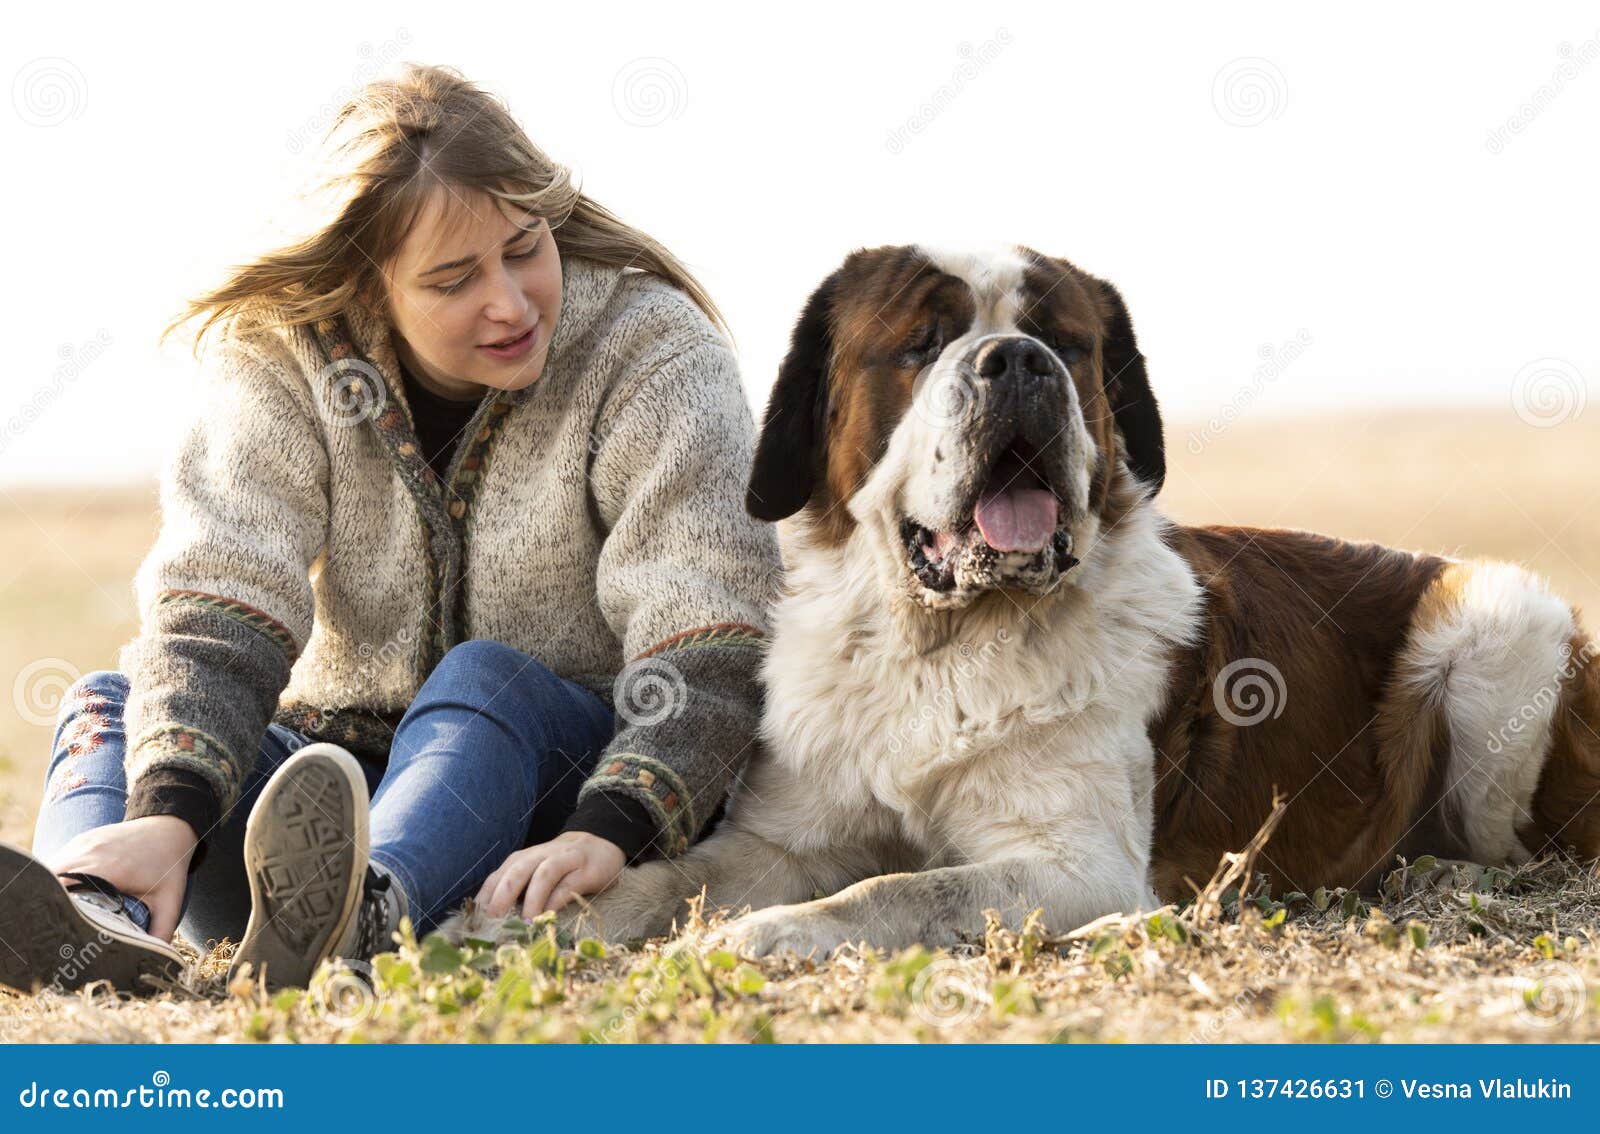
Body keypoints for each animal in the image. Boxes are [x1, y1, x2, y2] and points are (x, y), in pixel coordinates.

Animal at [547, 244, 1600, 953]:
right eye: (922, 343)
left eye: (1066, 342)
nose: (1016, 360)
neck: (938, 647)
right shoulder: (784, 836)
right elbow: (679, 871)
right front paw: (562, 907)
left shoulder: (1076, 865)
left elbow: (892, 891)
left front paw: (754, 936)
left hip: (1501, 628)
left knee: (1538, 844)